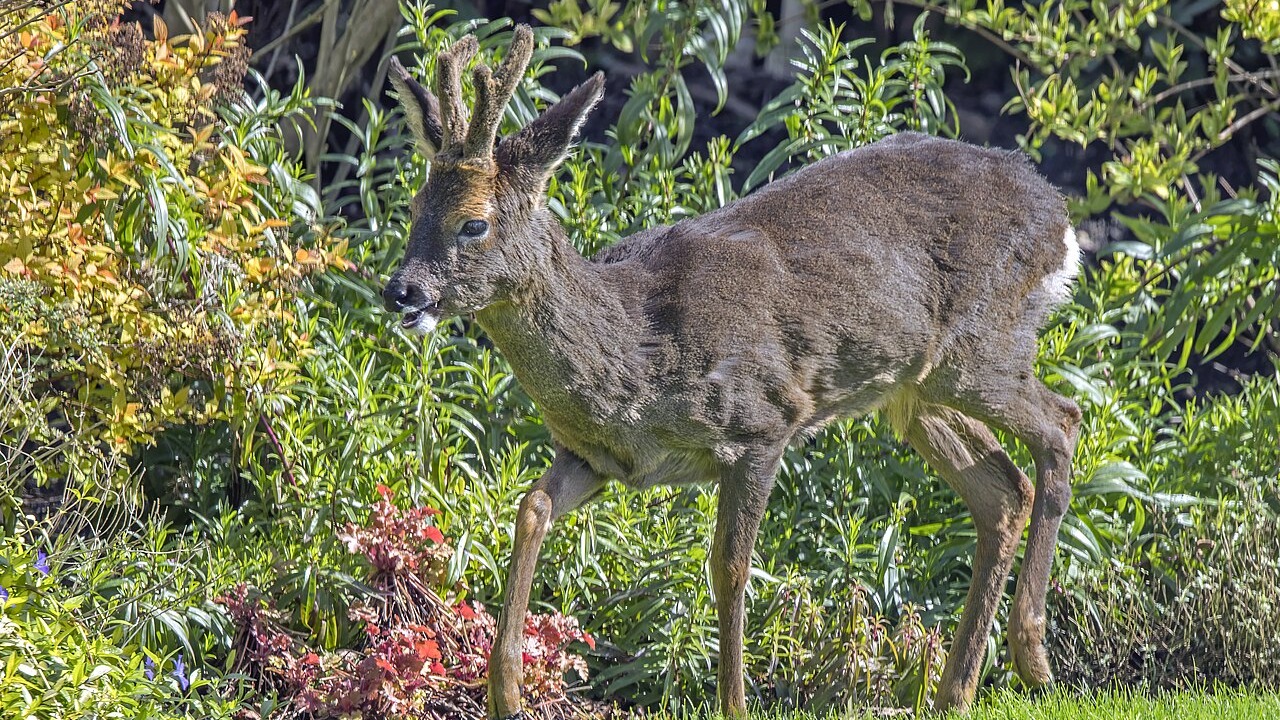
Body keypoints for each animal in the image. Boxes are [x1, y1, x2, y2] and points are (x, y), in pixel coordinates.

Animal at [382, 25, 1081, 719]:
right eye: (414, 206)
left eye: (474, 223)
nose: (401, 292)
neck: (637, 357)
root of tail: (1061, 216)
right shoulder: (599, 456)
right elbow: (530, 509)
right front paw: (506, 694)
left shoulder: (764, 421)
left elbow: (729, 568)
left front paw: (735, 703)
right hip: (911, 390)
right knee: (1004, 491)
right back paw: (955, 691)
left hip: (979, 348)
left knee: (1063, 422)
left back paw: (1033, 657)